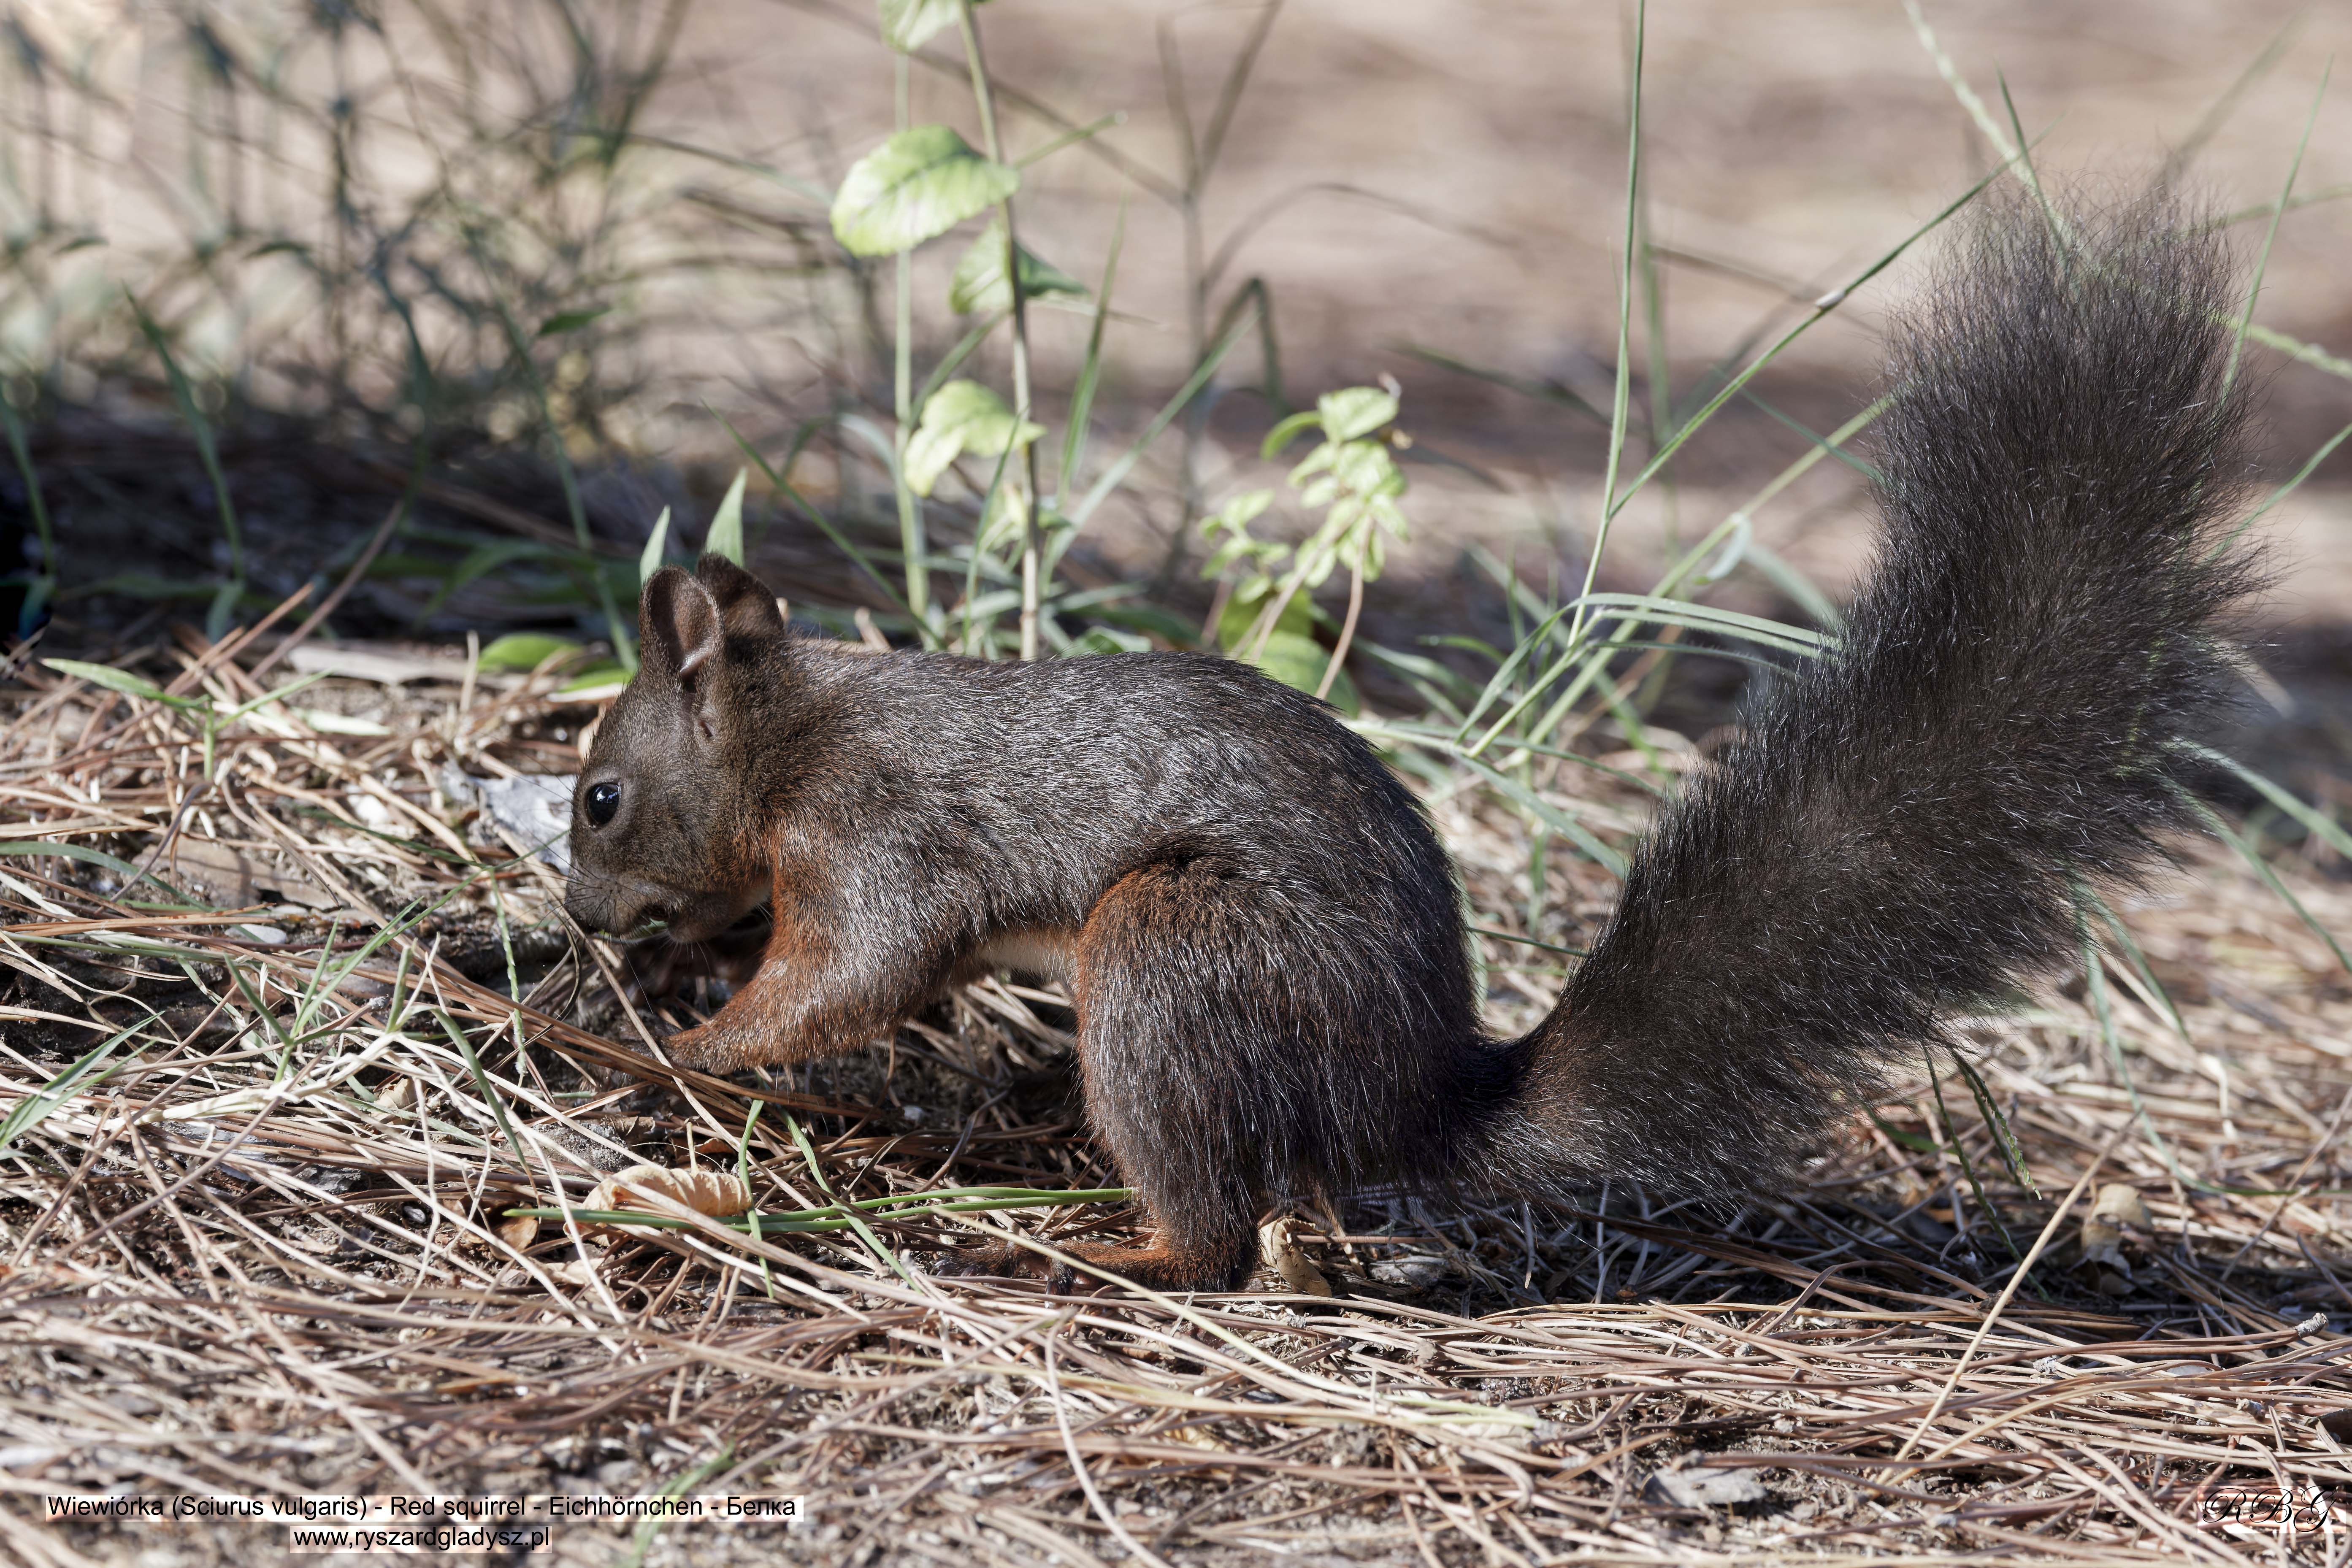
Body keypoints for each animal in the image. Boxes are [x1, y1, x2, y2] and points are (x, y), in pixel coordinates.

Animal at [564, 193, 2259, 1293]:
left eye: (597, 795)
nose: (576, 917)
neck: (797, 734)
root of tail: (1415, 1095)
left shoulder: (883, 833)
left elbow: (854, 974)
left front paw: (677, 1045)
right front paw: (670, 980)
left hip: (1172, 948)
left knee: (1217, 1231)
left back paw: (1104, 1243)